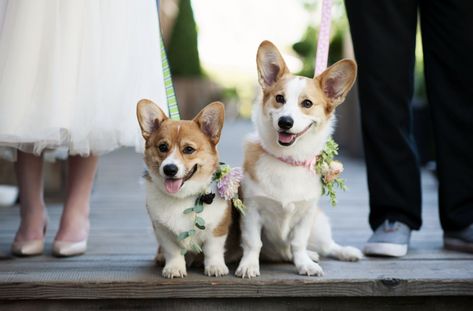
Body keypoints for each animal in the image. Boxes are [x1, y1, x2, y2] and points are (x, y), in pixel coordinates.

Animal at [136, 100, 233, 280]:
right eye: (162, 147)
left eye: (188, 149)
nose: (169, 169)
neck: (182, 197)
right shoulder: (163, 232)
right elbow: (172, 251)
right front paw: (174, 268)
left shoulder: (217, 229)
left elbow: (213, 250)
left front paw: (215, 267)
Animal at [235, 40, 362, 278]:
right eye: (279, 99)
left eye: (307, 103)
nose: (285, 122)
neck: (288, 160)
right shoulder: (252, 211)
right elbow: (253, 243)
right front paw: (248, 266)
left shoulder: (306, 215)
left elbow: (298, 243)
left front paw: (305, 265)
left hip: (319, 225)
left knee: (327, 246)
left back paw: (344, 252)